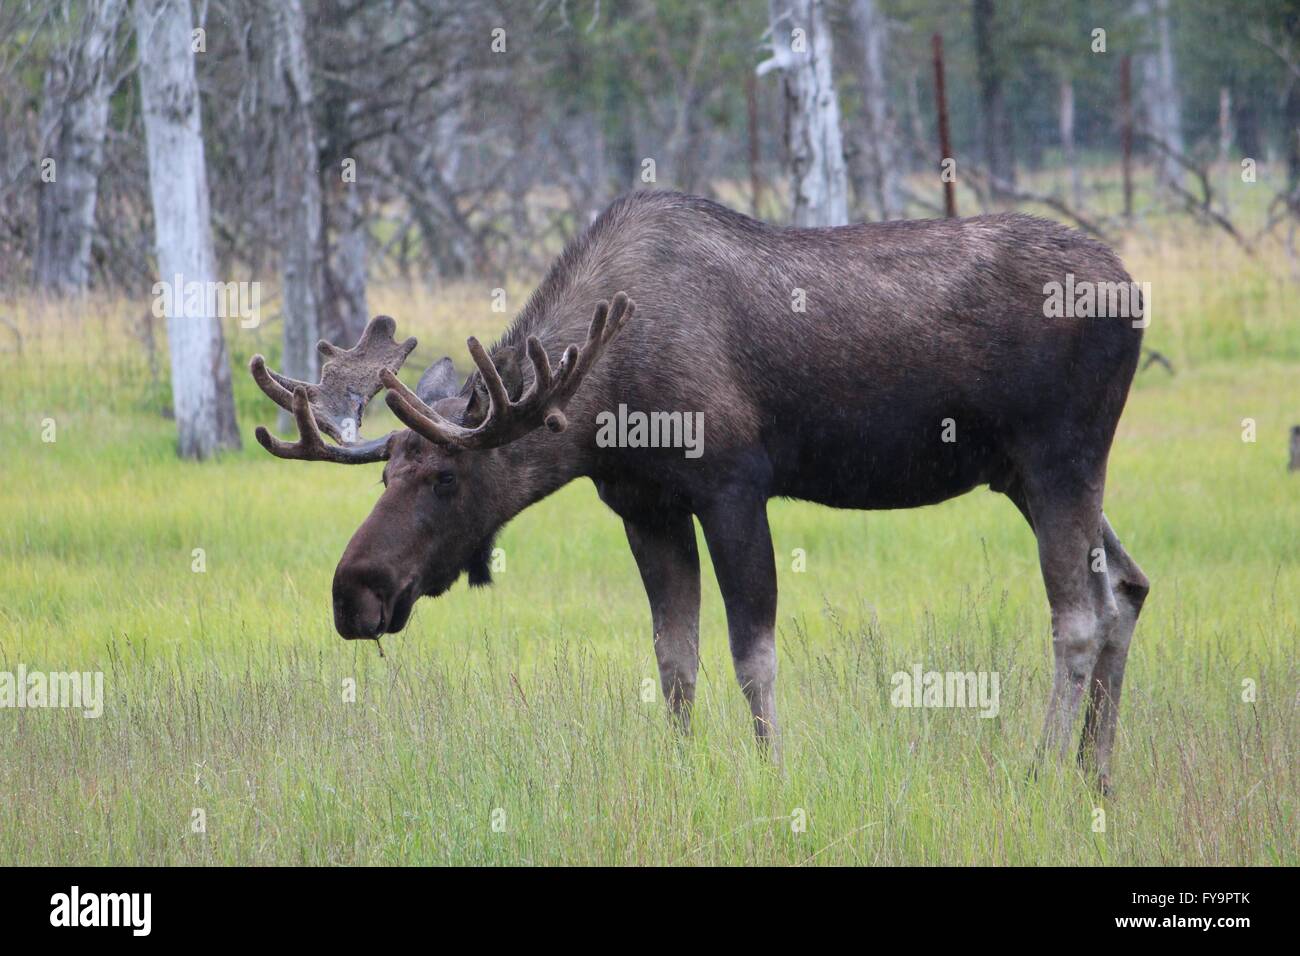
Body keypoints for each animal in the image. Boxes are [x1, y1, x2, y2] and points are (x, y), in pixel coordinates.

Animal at [250, 188, 1149, 790]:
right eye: (386, 471)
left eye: (444, 477)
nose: (354, 593)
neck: (603, 396)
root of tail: (1135, 292)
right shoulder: (643, 506)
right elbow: (674, 658)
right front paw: (683, 773)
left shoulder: (733, 488)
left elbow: (752, 654)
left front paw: (773, 773)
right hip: (1022, 476)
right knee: (1126, 589)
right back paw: (1095, 775)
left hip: (1061, 456)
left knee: (1077, 616)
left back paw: (1042, 770)